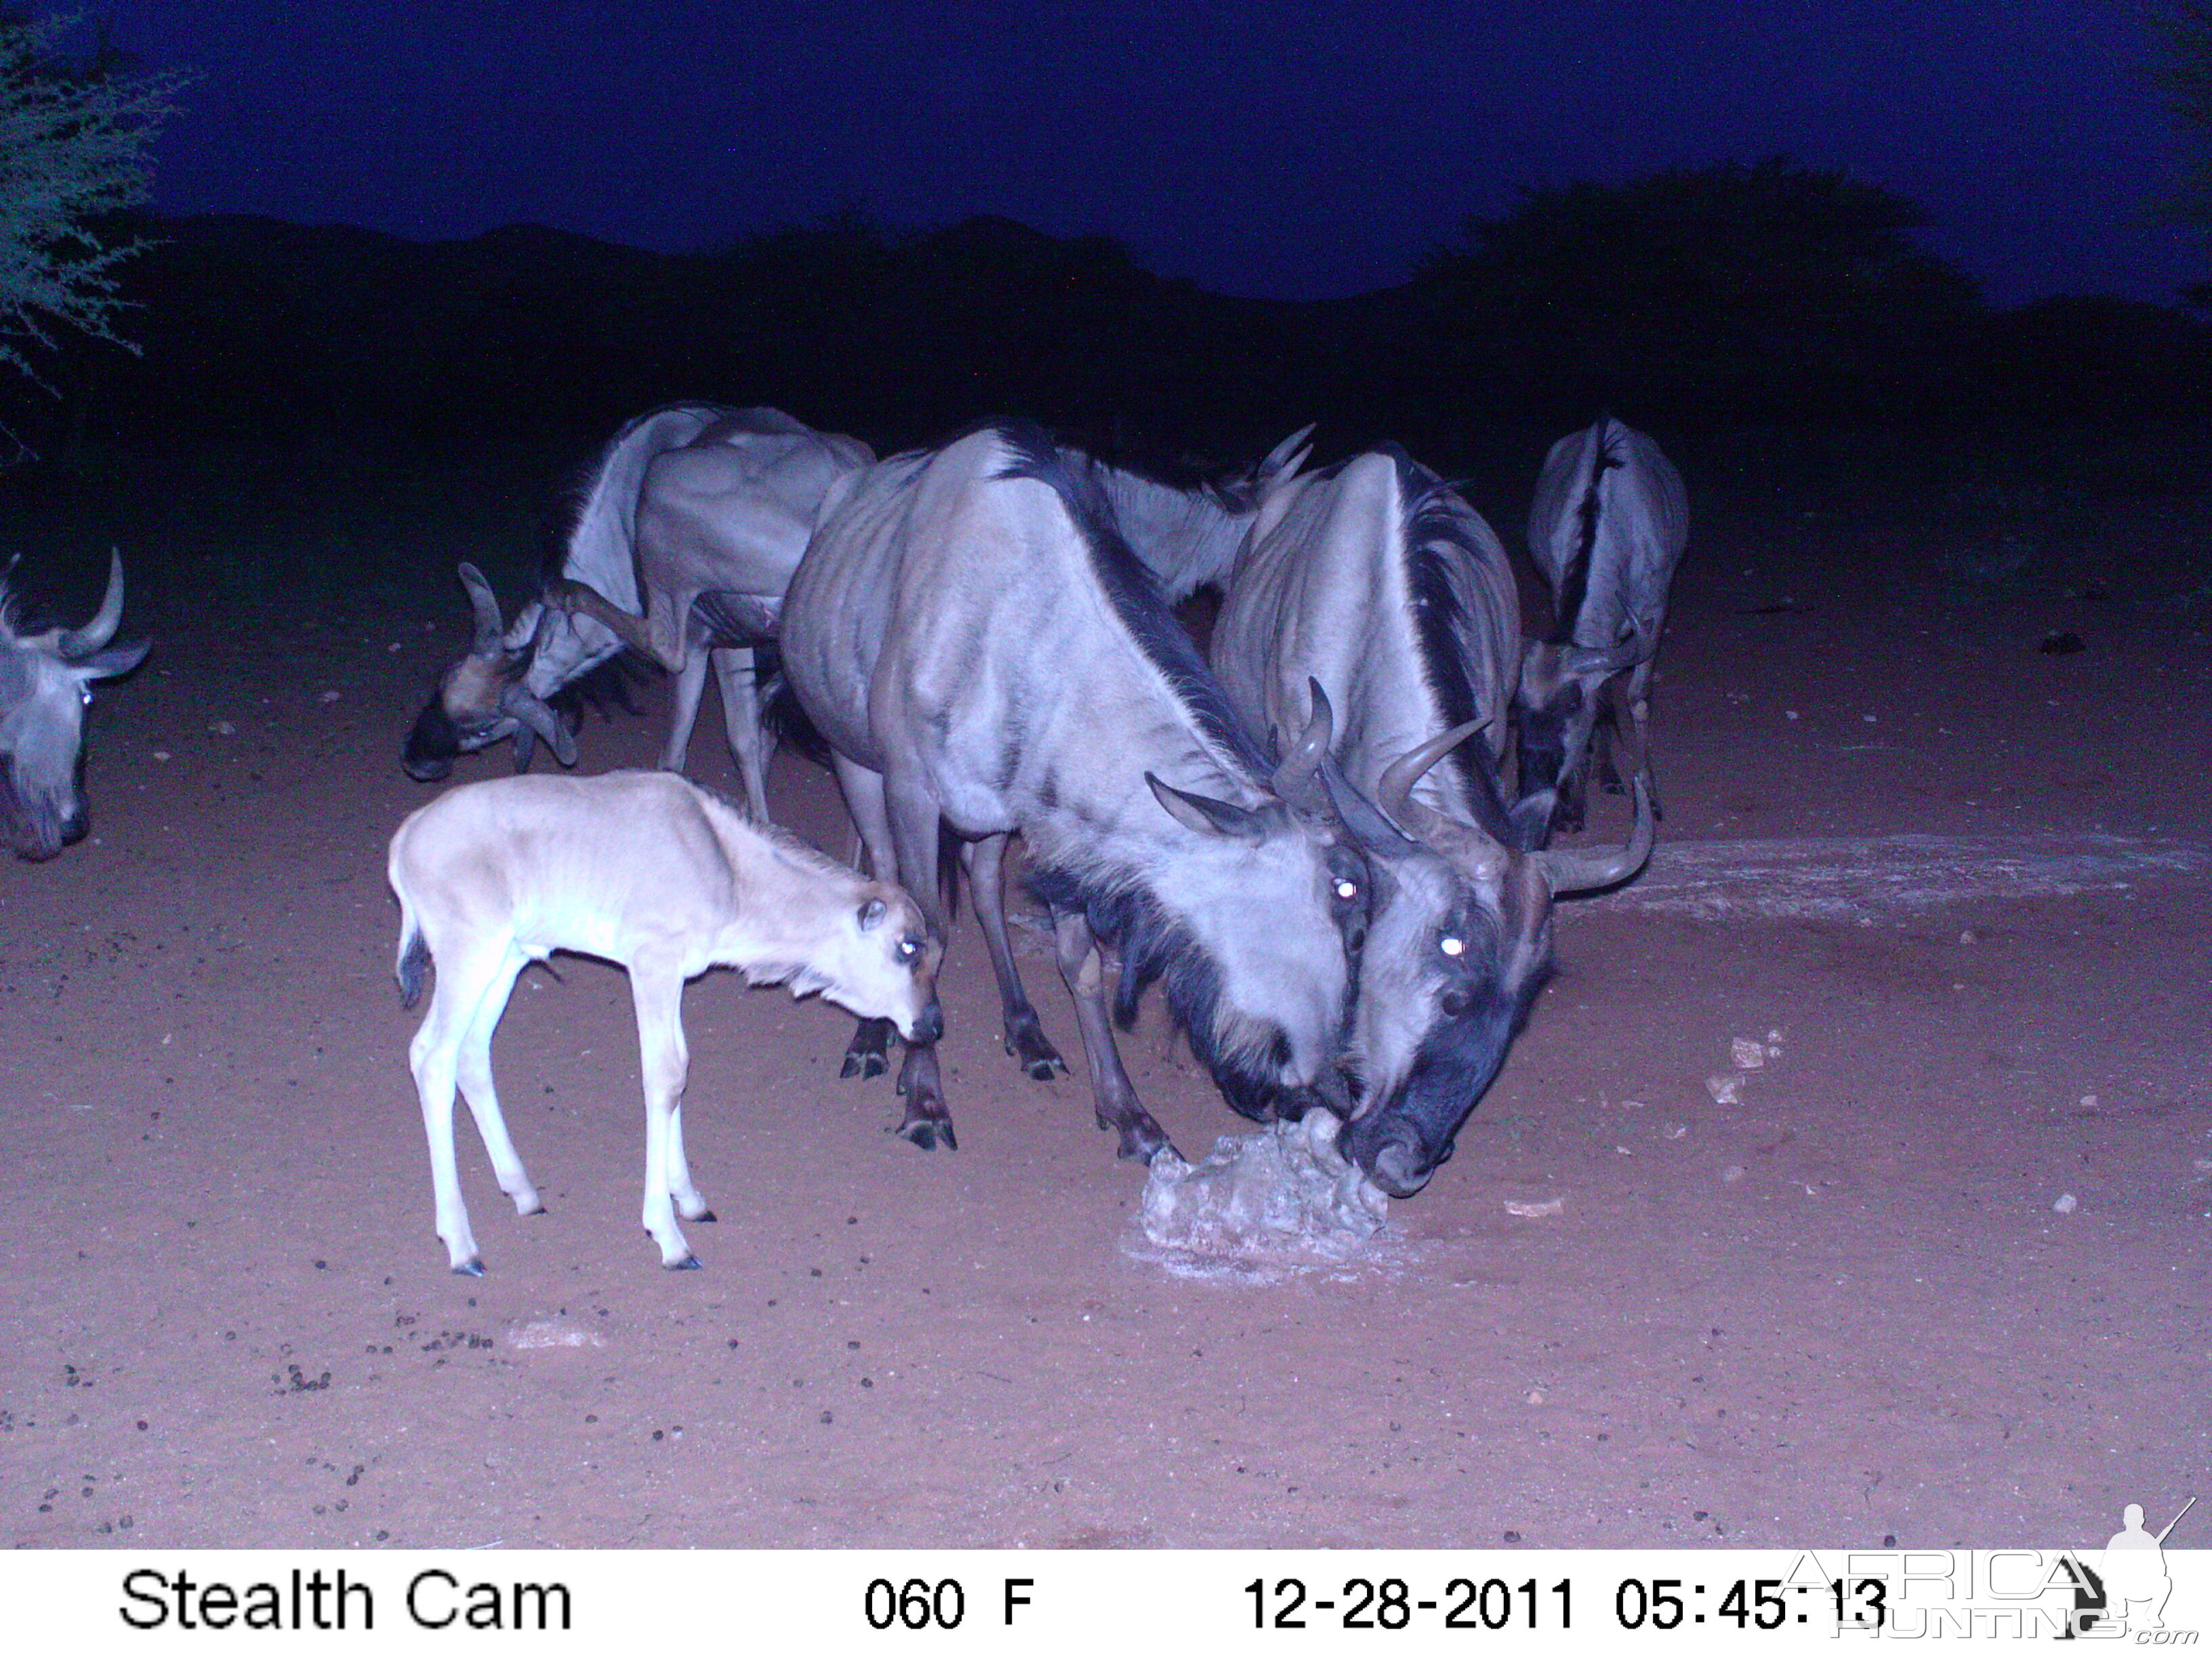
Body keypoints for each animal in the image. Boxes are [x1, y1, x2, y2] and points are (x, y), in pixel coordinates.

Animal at [389, 774, 942, 1283]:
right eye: (907, 946)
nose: (931, 1025)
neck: (724, 865)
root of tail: (408, 834)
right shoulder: (651, 965)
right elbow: (662, 1078)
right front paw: (669, 1237)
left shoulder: (675, 975)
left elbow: (678, 1073)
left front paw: (690, 1200)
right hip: (470, 955)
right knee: (431, 1056)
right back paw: (461, 1244)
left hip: (506, 960)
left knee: (471, 1054)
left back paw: (522, 1191)